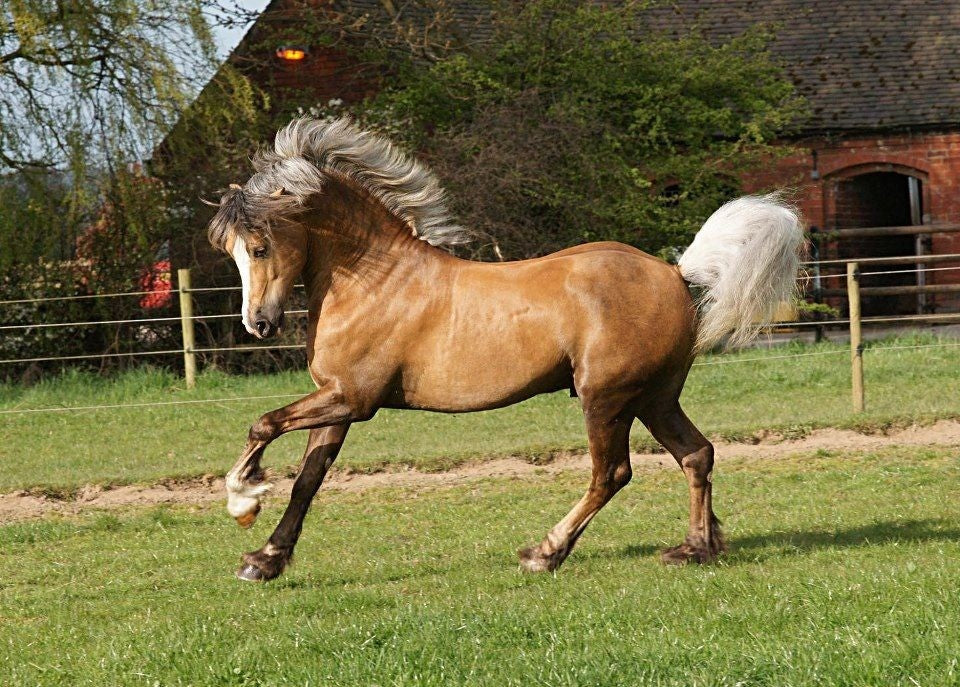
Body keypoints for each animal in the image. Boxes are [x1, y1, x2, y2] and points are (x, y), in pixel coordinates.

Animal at [207, 117, 803, 582]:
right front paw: (264, 559)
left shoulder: (353, 399)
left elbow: (263, 425)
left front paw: (243, 500)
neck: (375, 280)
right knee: (696, 455)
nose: (258, 324)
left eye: (259, 246)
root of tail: (677, 273)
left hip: (607, 398)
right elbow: (308, 480)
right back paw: (696, 548)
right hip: (654, 398)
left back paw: (545, 553)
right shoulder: (337, 402)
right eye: (231, 249)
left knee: (611, 473)